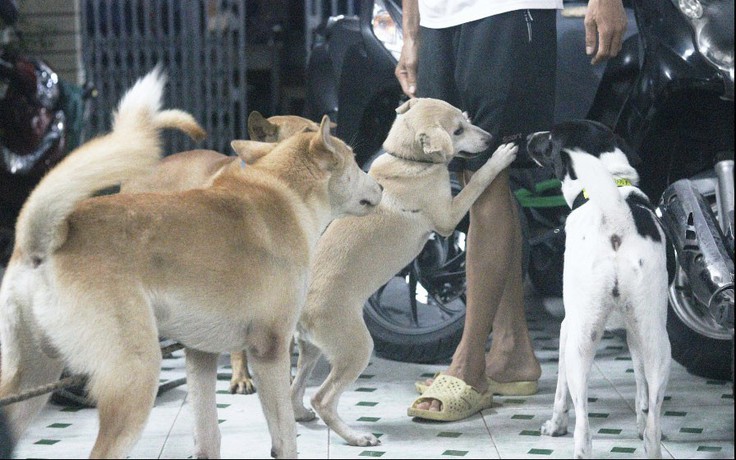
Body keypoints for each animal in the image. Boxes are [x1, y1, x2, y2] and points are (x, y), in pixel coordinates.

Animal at [0, 68, 380, 460]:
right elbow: (286, 436)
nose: (380, 186)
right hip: (135, 376)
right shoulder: (269, 349)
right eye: (353, 160)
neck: (283, 191)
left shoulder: (200, 355)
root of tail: (49, 236)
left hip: (33, 378)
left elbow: (208, 434)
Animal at [528, 120, 668, 458]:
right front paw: (639, 421)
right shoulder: (634, 335)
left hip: (581, 342)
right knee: (654, 424)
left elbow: (560, 391)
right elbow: (641, 389)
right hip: (658, 344)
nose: (527, 138)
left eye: (549, 139)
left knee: (583, 425)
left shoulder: (566, 327)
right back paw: (650, 439)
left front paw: (555, 425)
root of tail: (618, 222)